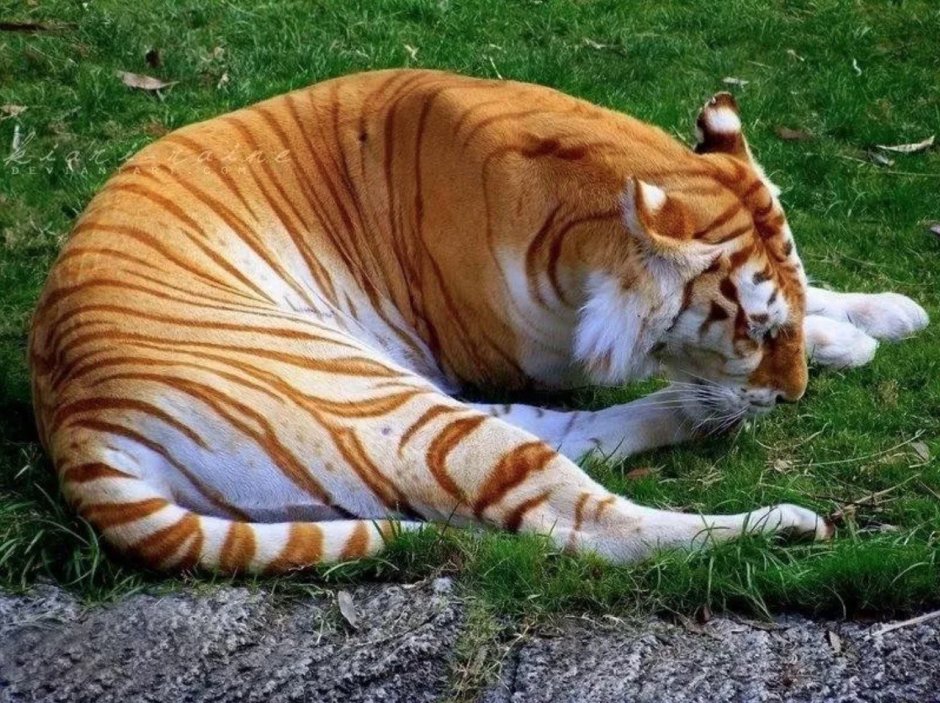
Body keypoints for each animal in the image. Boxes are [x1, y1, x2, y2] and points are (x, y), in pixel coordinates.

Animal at [28, 69, 928, 573]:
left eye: (778, 316)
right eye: (754, 331)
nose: (792, 398)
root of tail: (74, 428)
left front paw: (883, 311)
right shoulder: (536, 349)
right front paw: (843, 341)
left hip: (401, 403)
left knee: (581, 441)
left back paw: (698, 419)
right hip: (379, 401)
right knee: (584, 525)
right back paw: (782, 524)